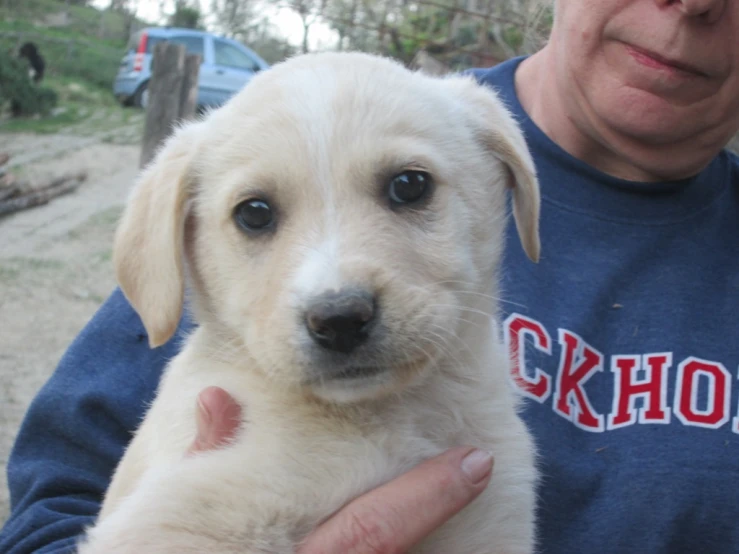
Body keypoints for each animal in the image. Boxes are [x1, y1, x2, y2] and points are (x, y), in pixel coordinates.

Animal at [78, 51, 540, 552]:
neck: (384, 418)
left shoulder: (493, 520)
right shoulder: (181, 517)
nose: (340, 320)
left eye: (410, 184)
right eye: (254, 213)